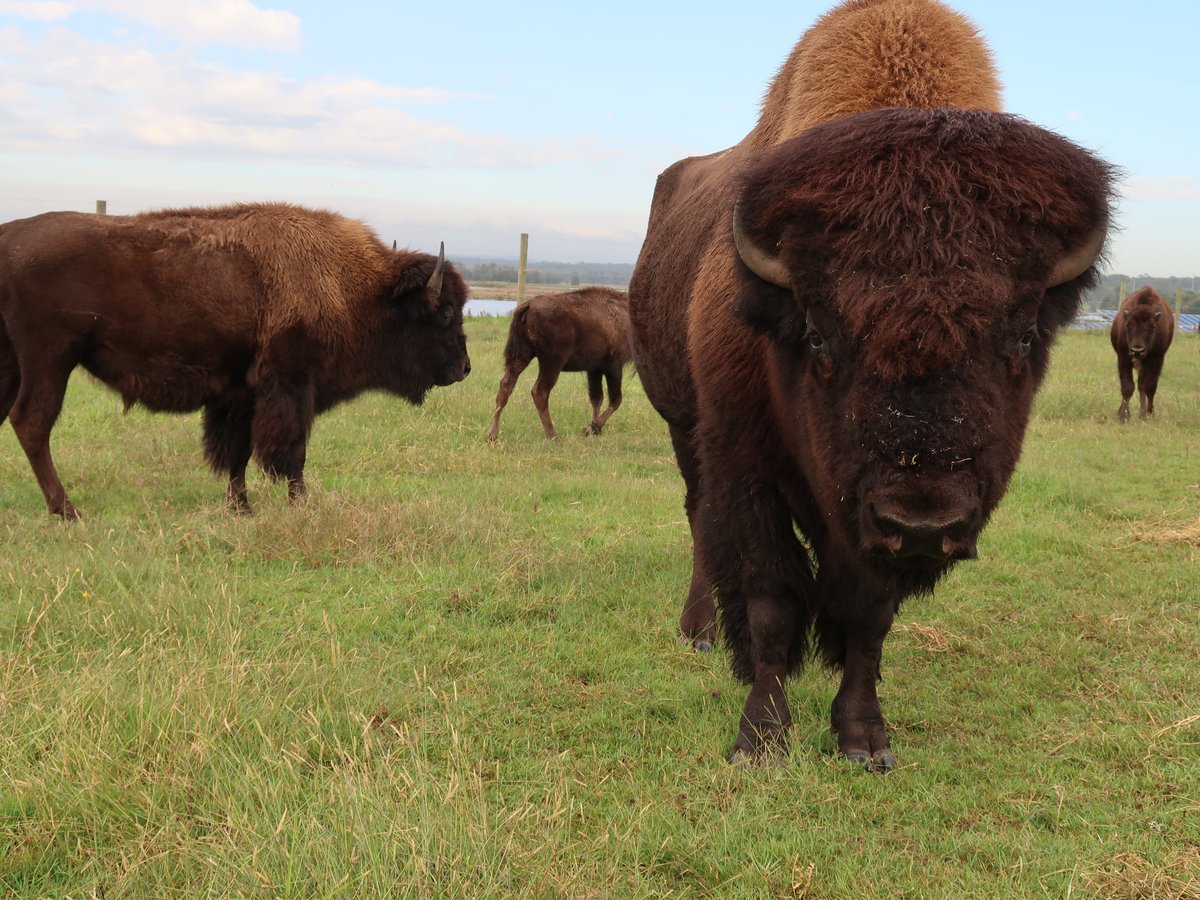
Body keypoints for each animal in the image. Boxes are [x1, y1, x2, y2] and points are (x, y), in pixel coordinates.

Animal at [0, 200, 468, 518]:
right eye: (445, 313)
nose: (464, 368)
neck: (354, 286)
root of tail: (8, 237)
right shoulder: (291, 386)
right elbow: (292, 451)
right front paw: (300, 504)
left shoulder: (242, 394)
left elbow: (238, 453)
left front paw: (241, 507)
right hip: (51, 360)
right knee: (33, 422)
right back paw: (67, 510)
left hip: (14, 363)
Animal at [482, 286, 633, 441]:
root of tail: (528, 305)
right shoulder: (613, 365)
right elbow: (615, 400)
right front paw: (591, 428)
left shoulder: (595, 368)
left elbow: (597, 399)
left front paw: (594, 430)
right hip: (552, 362)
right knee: (540, 392)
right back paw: (553, 436)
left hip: (522, 356)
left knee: (505, 386)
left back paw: (492, 434)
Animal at [628, 1, 1113, 777]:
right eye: (820, 334)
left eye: (1021, 337)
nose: (924, 521)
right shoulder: (751, 468)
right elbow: (771, 602)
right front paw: (760, 740)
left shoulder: (868, 530)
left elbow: (867, 615)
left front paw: (863, 739)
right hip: (683, 426)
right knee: (701, 519)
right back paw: (700, 631)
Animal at [1108, 286, 1176, 424]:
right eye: (1128, 325)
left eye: (1152, 326)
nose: (1137, 350)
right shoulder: (1123, 358)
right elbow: (1127, 386)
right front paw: (1124, 416)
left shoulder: (1156, 359)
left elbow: (1149, 386)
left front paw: (1148, 414)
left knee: (1142, 385)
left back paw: (1143, 413)